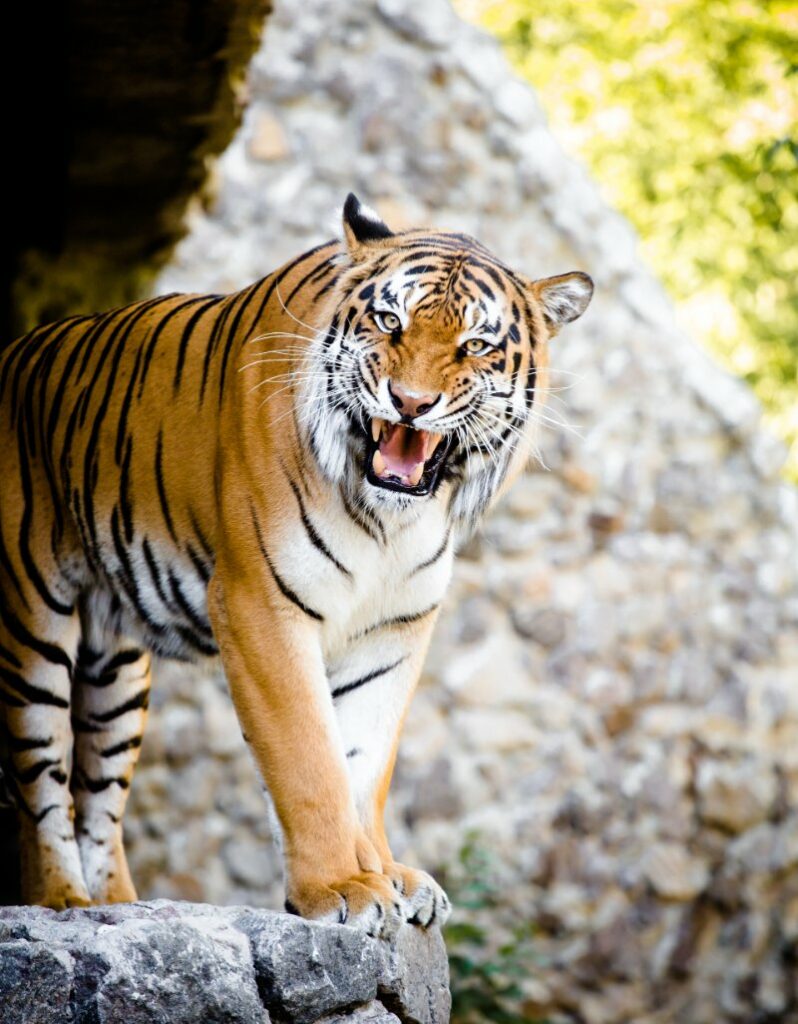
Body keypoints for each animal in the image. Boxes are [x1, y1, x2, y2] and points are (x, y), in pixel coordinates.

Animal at [0, 193, 594, 937]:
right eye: (390, 321)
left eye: (476, 345)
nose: (410, 403)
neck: (390, 523)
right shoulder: (262, 606)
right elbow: (309, 759)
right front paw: (340, 887)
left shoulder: (395, 630)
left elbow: (363, 764)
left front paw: (386, 874)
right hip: (33, 619)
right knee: (40, 778)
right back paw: (61, 901)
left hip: (116, 668)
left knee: (98, 793)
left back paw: (116, 907)